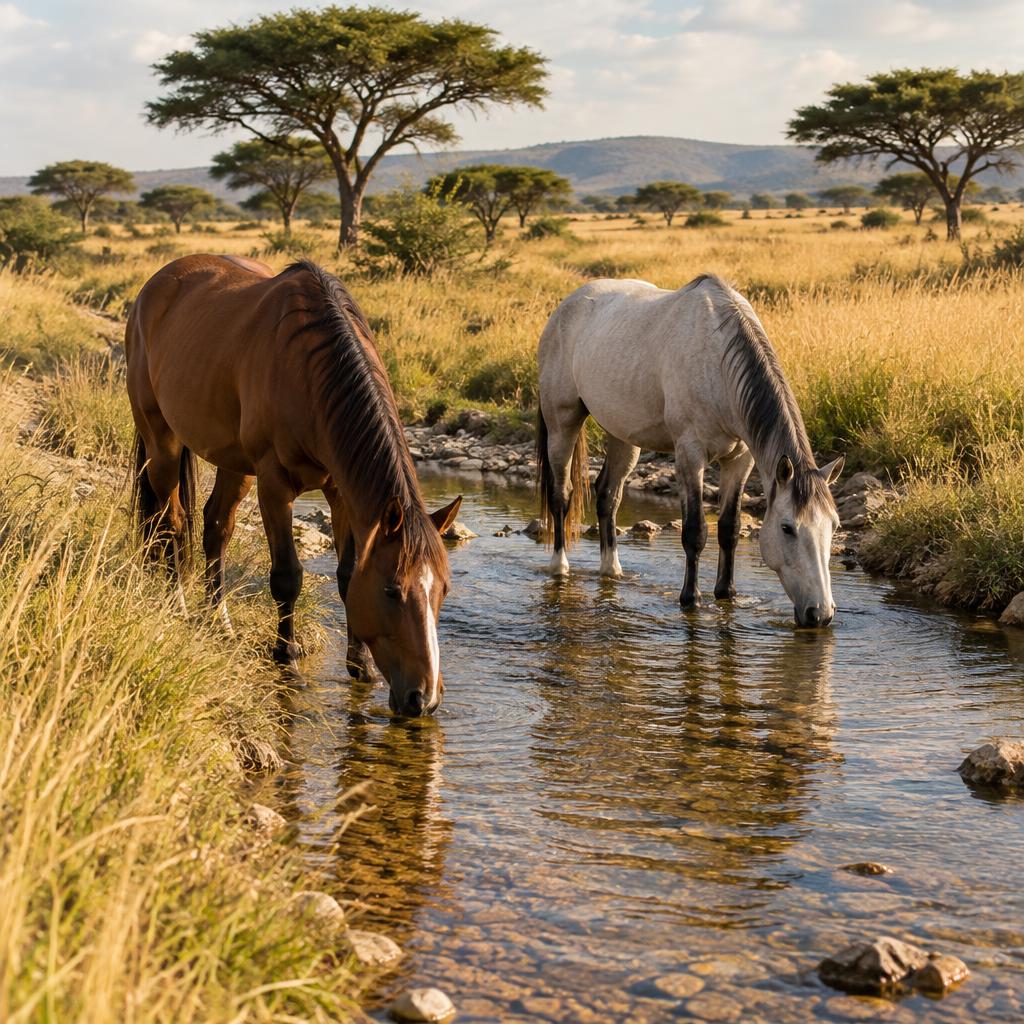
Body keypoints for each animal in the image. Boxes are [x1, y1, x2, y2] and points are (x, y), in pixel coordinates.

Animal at [126, 255, 461, 716]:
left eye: (443, 590)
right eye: (392, 590)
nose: (423, 698)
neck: (308, 370)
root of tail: (155, 286)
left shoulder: (341, 492)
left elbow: (346, 575)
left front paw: (359, 666)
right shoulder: (274, 484)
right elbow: (287, 576)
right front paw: (287, 656)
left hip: (235, 464)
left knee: (216, 527)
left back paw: (219, 620)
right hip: (162, 440)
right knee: (170, 522)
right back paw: (177, 601)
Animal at [536, 273, 843, 628]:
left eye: (834, 525)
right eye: (787, 528)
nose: (819, 613)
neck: (718, 360)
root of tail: (565, 307)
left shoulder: (740, 460)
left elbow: (729, 528)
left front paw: (726, 593)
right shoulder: (690, 455)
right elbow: (695, 531)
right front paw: (690, 599)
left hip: (623, 435)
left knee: (607, 496)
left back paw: (611, 570)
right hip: (562, 423)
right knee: (561, 495)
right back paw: (560, 566)